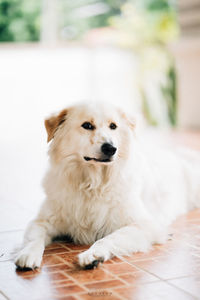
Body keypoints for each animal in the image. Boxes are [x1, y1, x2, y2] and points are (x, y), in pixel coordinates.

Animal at [14, 102, 200, 268]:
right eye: (87, 125)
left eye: (113, 126)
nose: (111, 148)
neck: (92, 184)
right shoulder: (41, 221)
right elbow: (34, 239)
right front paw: (28, 254)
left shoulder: (144, 225)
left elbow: (110, 238)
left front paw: (94, 254)